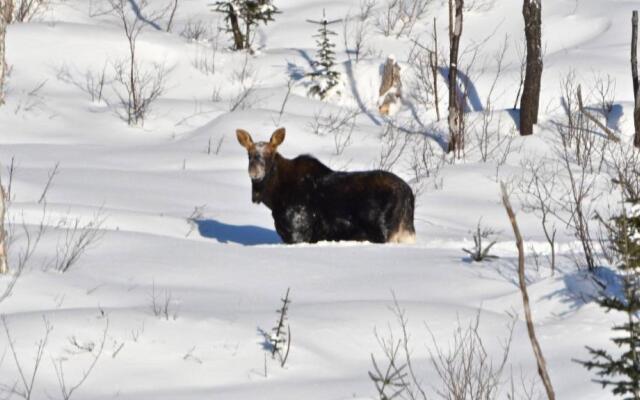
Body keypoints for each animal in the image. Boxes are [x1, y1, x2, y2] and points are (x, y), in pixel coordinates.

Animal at [235, 128, 416, 244]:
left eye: (270, 154)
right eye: (249, 155)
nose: (255, 171)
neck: (274, 199)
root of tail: (408, 194)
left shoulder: (298, 232)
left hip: (384, 232)